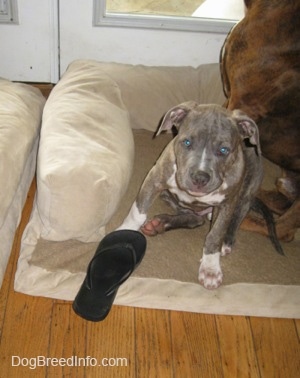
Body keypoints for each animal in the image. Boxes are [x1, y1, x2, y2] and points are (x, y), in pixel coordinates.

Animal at [117, 103, 262, 290]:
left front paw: (210, 268)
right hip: (170, 198)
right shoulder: (154, 179)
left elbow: (216, 233)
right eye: (187, 142)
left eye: (224, 150)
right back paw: (160, 224)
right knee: (195, 219)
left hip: (248, 188)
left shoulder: (227, 203)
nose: (200, 177)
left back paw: (225, 241)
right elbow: (138, 213)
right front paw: (123, 232)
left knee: (236, 217)